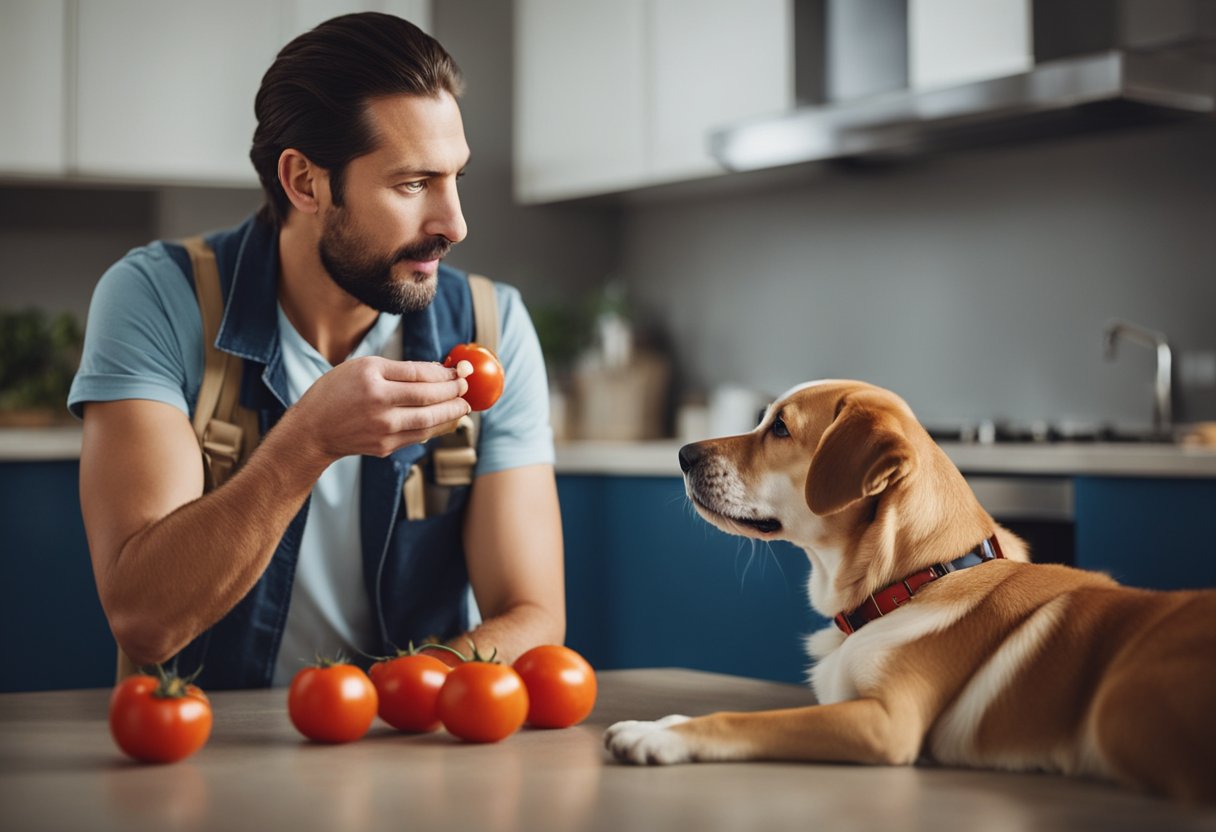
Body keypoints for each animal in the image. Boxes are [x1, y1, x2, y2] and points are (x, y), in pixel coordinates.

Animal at [608, 379, 1216, 802]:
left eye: (779, 428)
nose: (682, 454)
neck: (918, 578)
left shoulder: (886, 723)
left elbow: (743, 720)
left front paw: (656, 737)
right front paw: (660, 723)